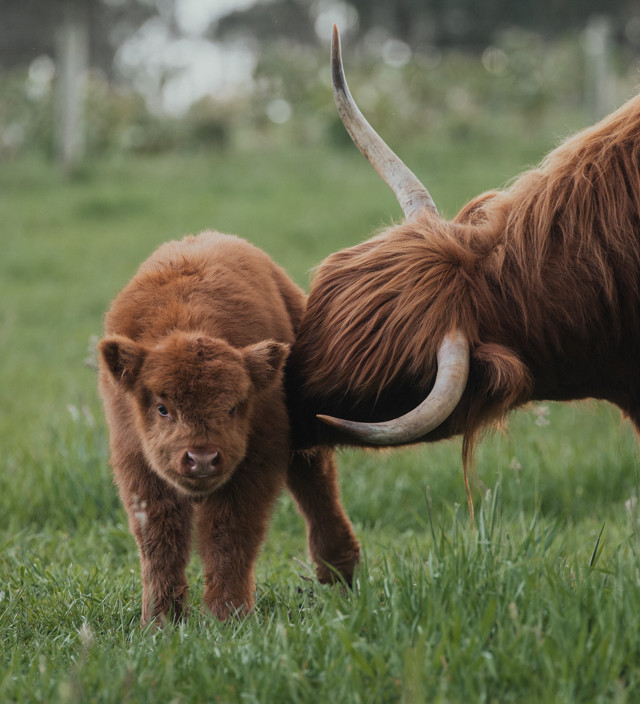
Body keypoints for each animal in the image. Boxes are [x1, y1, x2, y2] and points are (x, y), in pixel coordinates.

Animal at [100, 234, 360, 624]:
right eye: (162, 408)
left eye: (234, 406)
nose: (202, 458)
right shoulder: (139, 470)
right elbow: (160, 543)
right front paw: (160, 621)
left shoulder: (254, 467)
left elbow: (229, 537)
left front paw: (229, 617)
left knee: (317, 485)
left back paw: (340, 572)